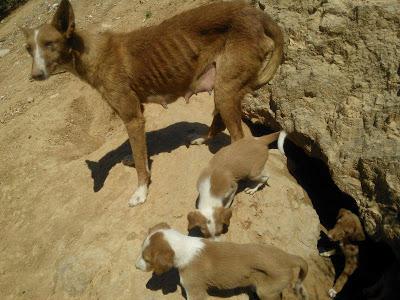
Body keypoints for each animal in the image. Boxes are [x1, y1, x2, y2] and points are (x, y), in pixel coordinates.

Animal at [21, 0, 284, 206]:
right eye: (28, 49)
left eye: (49, 44)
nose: (34, 75)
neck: (90, 53)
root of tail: (256, 12)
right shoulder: (137, 111)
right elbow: (139, 151)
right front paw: (135, 160)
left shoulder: (133, 118)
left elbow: (140, 162)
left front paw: (141, 191)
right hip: (222, 86)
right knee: (219, 123)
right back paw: (203, 139)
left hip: (225, 90)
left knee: (238, 137)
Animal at [136, 223, 308, 300]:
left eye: (147, 259)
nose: (136, 266)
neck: (184, 247)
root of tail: (287, 256)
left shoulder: (194, 291)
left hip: (267, 291)